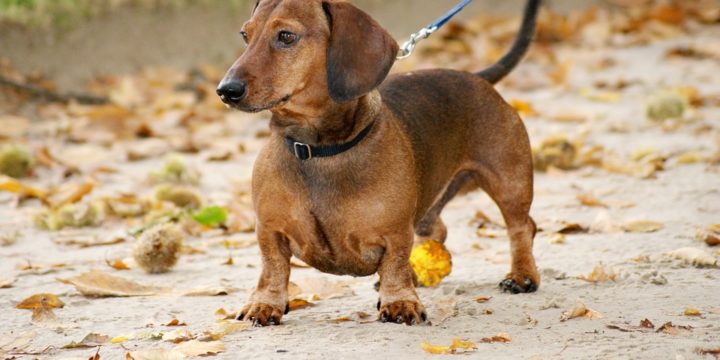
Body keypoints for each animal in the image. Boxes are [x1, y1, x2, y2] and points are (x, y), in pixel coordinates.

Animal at [217, 0, 544, 326]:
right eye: (245, 35)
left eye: (286, 36)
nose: (226, 90)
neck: (316, 150)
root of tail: (477, 77)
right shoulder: (269, 230)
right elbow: (272, 268)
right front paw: (264, 304)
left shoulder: (396, 232)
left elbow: (394, 264)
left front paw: (399, 301)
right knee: (436, 231)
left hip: (509, 181)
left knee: (522, 227)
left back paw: (522, 275)